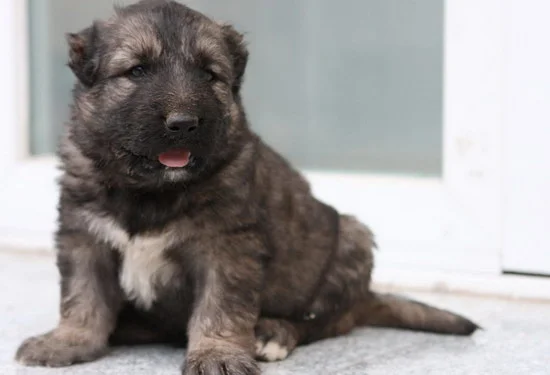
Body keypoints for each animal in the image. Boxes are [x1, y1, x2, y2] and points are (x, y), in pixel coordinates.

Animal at [15, 1, 480, 374]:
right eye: (138, 70)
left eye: (209, 75)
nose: (183, 123)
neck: (150, 190)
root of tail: (364, 298)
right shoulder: (84, 236)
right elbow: (83, 296)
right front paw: (68, 341)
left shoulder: (226, 246)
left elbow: (220, 306)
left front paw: (217, 353)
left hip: (351, 239)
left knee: (320, 322)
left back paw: (272, 332)